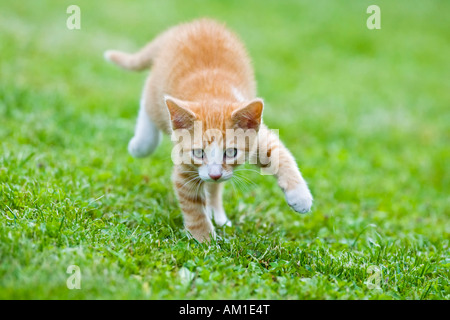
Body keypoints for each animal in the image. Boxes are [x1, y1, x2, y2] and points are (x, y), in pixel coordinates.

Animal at [104, 18, 312, 242]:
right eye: (198, 152)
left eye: (231, 152)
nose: (214, 174)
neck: (212, 96)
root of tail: (194, 23)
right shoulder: (183, 165)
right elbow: (192, 204)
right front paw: (204, 239)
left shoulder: (258, 137)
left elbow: (280, 154)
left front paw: (300, 197)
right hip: (157, 91)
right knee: (148, 102)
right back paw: (141, 144)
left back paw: (217, 213)